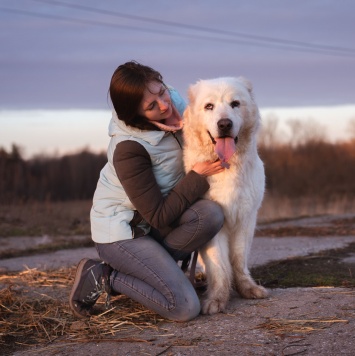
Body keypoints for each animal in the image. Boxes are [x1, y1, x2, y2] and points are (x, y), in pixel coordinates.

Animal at [185, 76, 268, 314]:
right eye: (209, 106)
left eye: (235, 104)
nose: (224, 124)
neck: (227, 166)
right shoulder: (215, 222)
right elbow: (219, 265)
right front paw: (217, 299)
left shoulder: (246, 218)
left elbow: (238, 258)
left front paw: (247, 288)